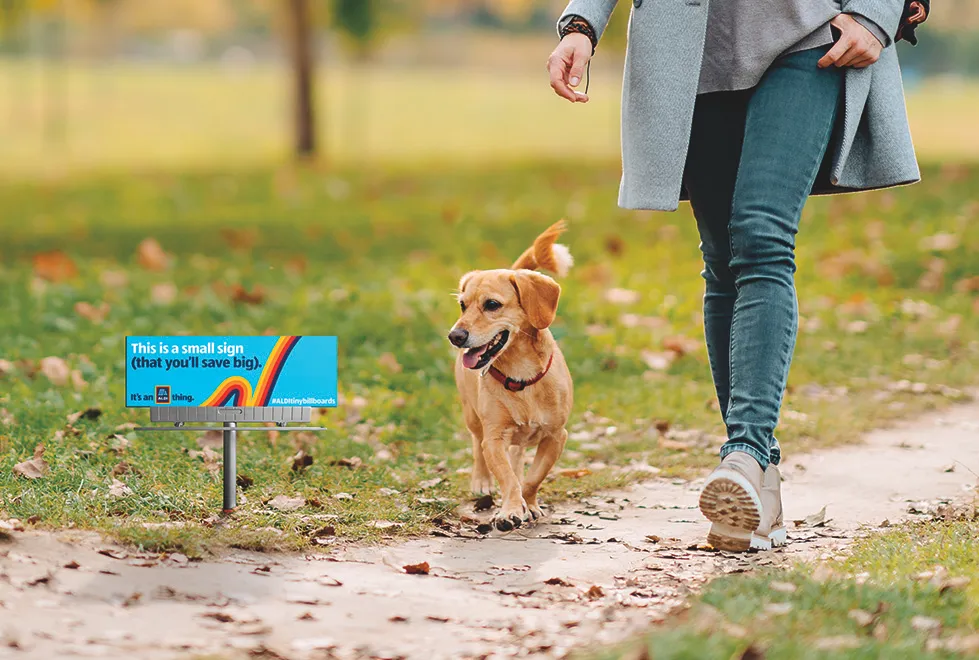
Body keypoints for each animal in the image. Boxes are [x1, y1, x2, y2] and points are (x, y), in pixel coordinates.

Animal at [446, 222, 576, 532]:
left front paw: (528, 505)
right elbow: (506, 477)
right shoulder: (494, 439)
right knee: (477, 446)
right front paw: (510, 510)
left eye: (492, 304)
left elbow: (531, 479)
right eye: (462, 305)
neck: (521, 378)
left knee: (517, 459)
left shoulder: (556, 437)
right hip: (472, 416)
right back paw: (482, 482)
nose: (455, 336)